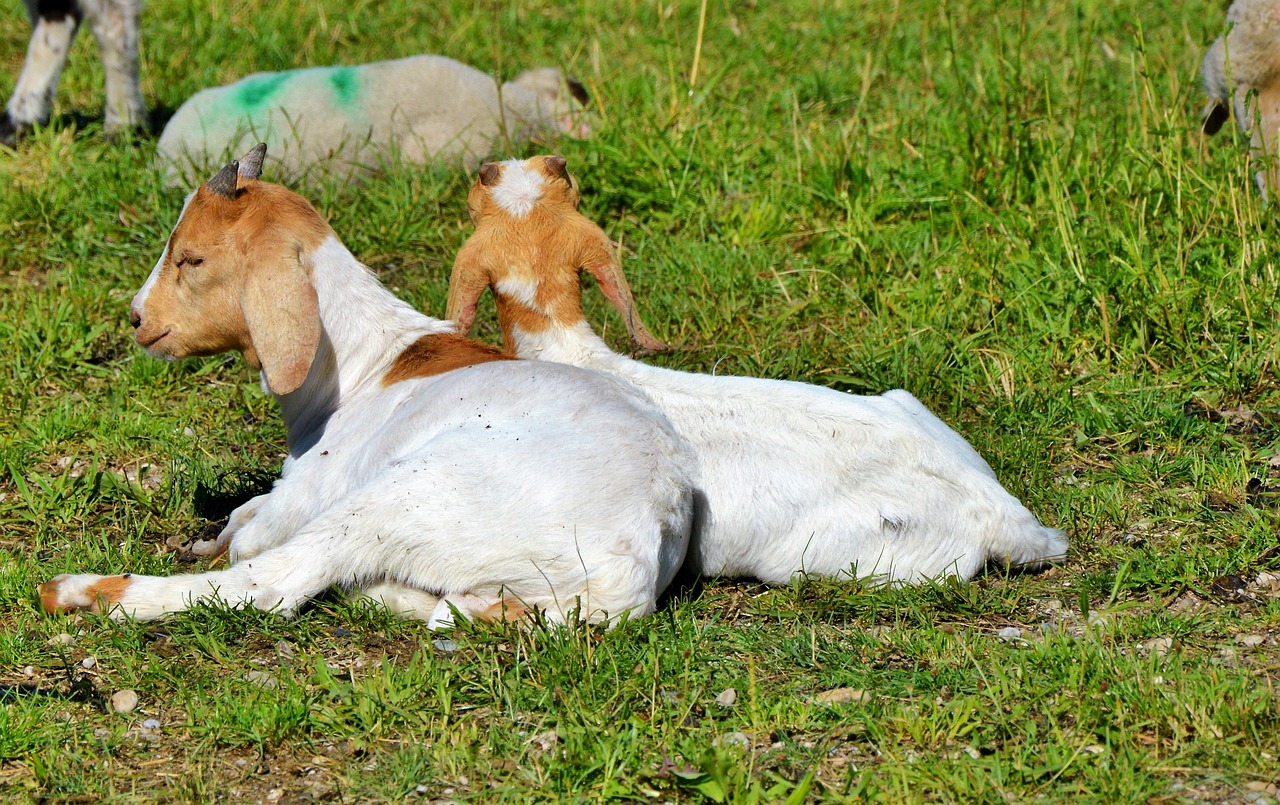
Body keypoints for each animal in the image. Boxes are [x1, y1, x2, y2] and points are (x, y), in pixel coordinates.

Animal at [40, 142, 696, 627]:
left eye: (192, 259)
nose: (137, 318)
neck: (363, 364)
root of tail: (632, 559)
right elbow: (242, 516)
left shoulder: (307, 491)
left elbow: (253, 539)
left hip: (415, 493)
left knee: (275, 583)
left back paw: (80, 592)